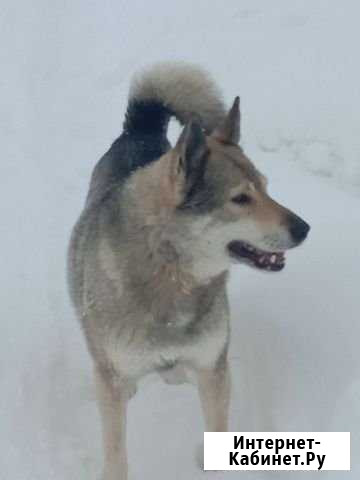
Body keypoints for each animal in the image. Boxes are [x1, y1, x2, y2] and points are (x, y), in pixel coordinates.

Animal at [68, 62, 310, 478]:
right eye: (240, 199)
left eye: (265, 187)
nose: (304, 228)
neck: (171, 273)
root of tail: (141, 128)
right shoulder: (113, 381)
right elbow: (116, 454)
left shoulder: (213, 366)